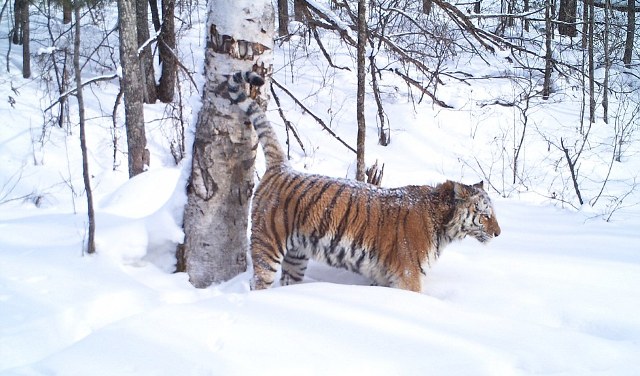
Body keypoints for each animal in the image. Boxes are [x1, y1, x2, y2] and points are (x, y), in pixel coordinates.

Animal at [228, 71, 502, 294]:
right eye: (485, 215)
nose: (498, 234)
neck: (443, 223)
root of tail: (281, 167)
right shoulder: (408, 275)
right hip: (267, 244)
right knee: (259, 282)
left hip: (296, 257)